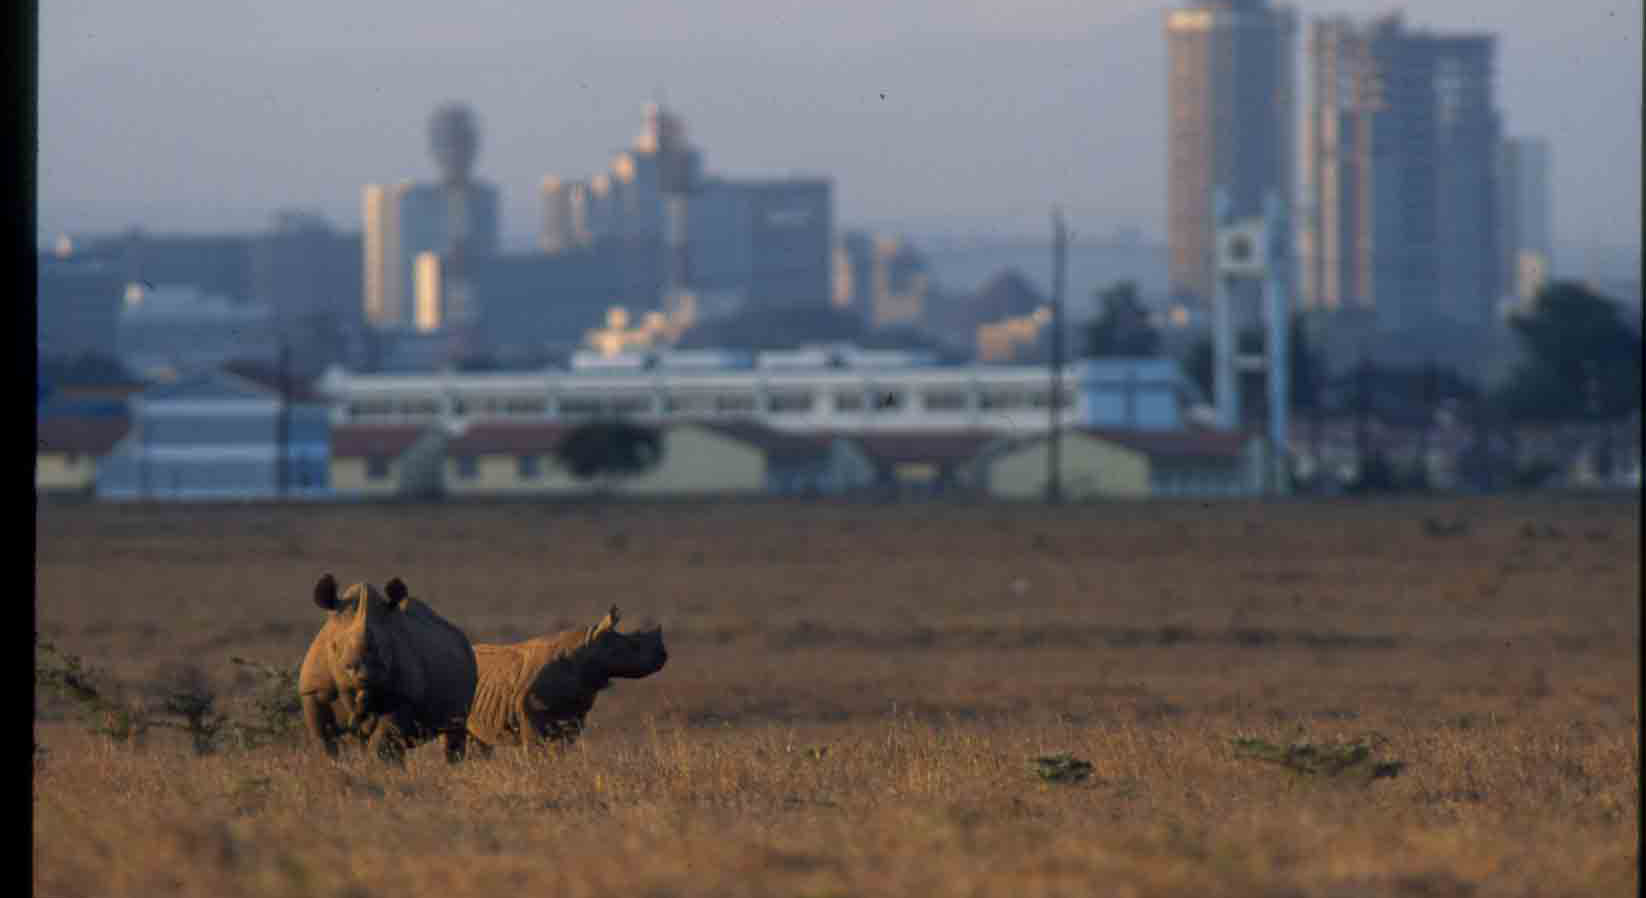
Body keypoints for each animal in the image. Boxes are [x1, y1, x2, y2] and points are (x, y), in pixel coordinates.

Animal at [299, 572, 480, 763]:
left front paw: (381, 768)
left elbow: (383, 742)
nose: (364, 674)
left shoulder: (402, 696)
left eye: (386, 650)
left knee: (454, 730)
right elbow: (323, 739)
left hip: (468, 661)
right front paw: (329, 764)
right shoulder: (313, 691)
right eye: (334, 647)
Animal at [464, 601, 668, 746]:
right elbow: (536, 749)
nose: (663, 656)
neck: (587, 646)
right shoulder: (529, 711)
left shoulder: (575, 712)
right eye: (634, 646)